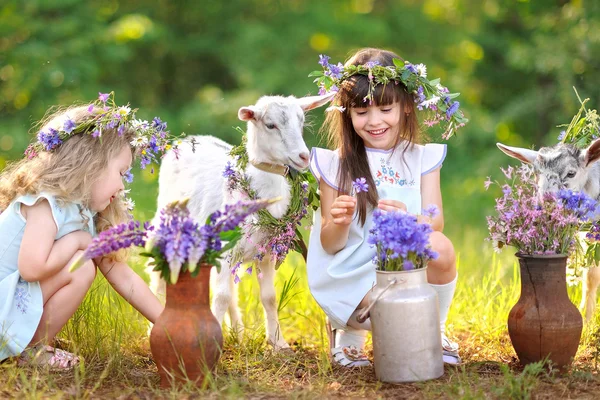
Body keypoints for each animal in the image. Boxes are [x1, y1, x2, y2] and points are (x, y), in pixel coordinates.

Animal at [148, 94, 330, 350]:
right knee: (159, 277)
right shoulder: (226, 250)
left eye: (301, 121)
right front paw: (212, 345)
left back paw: (238, 332)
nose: (304, 156)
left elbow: (268, 297)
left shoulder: (267, 252)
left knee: (231, 291)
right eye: (270, 125)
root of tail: (190, 139)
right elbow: (221, 296)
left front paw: (278, 343)